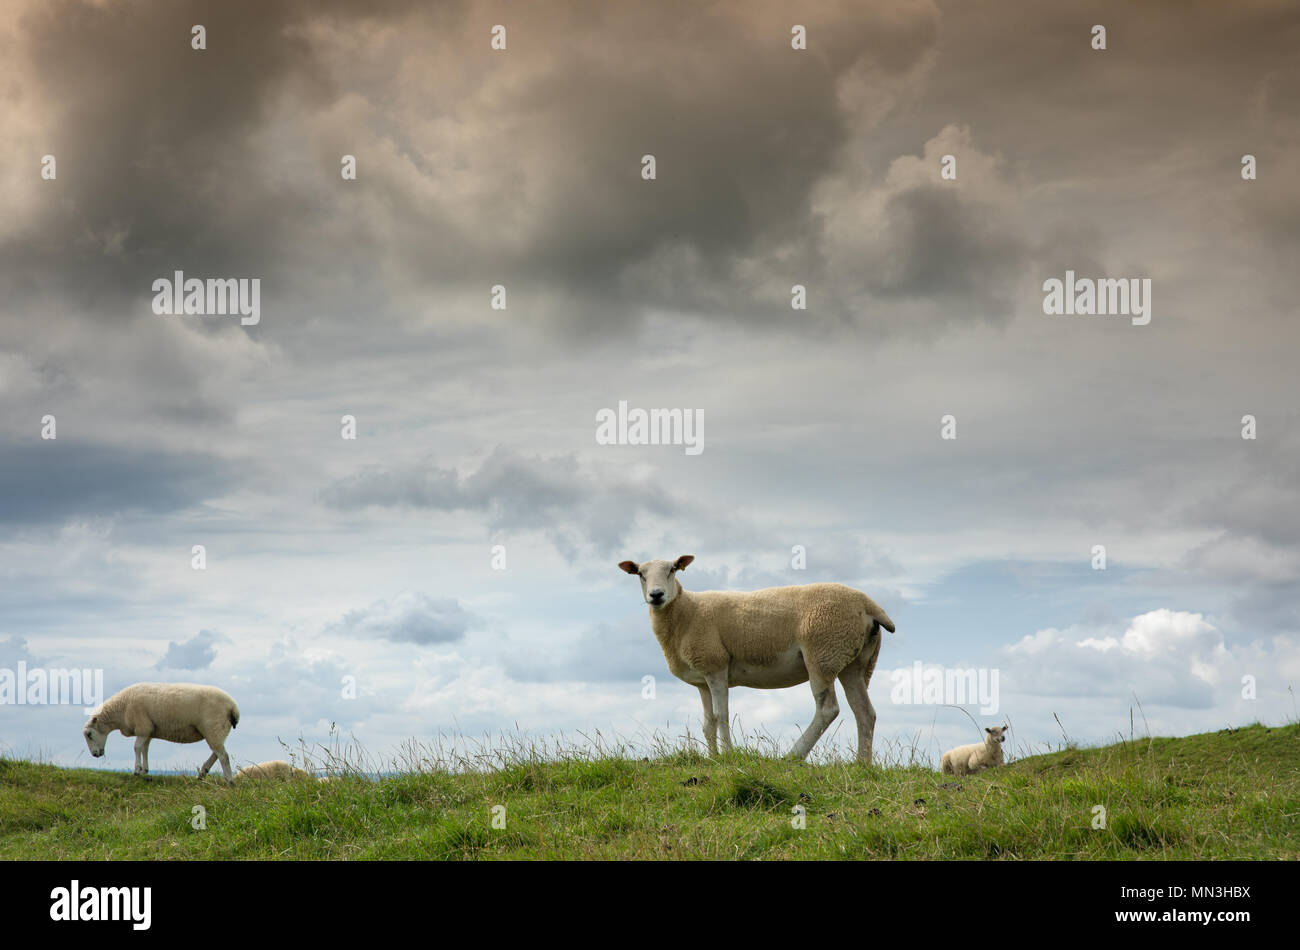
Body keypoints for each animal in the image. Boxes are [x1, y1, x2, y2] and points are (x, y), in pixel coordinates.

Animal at [82, 686, 243, 784]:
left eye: (89, 734)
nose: (95, 754)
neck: (120, 709)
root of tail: (233, 707)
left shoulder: (143, 727)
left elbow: (136, 748)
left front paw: (136, 770)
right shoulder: (148, 730)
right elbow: (145, 749)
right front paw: (145, 770)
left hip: (213, 728)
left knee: (223, 755)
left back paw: (229, 781)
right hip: (216, 731)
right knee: (217, 752)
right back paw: (203, 773)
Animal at [616, 553, 894, 764]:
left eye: (673, 569)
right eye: (640, 573)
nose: (656, 595)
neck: (686, 612)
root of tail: (870, 605)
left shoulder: (715, 665)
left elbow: (721, 715)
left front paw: (727, 756)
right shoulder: (702, 680)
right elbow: (707, 722)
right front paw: (712, 758)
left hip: (822, 653)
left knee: (828, 709)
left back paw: (793, 756)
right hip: (855, 661)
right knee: (865, 712)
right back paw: (862, 764)